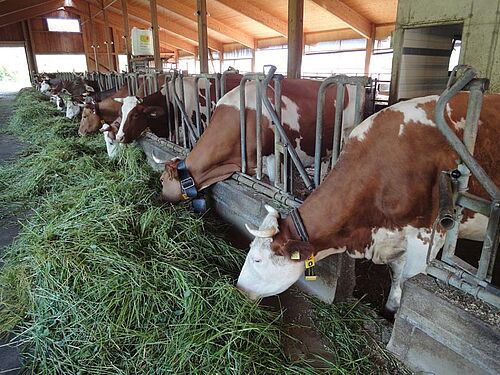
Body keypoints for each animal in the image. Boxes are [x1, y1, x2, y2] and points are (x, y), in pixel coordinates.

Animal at [235, 93, 500, 314]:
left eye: (257, 259)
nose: (238, 288)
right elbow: (396, 270)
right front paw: (390, 305)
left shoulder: (427, 240)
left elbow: (405, 276)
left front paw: (394, 310)